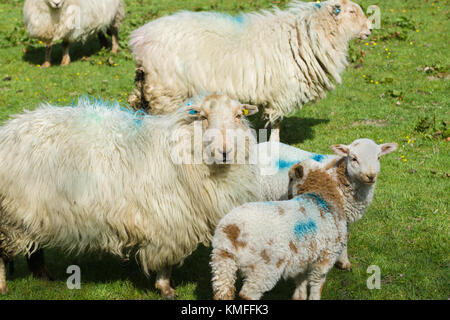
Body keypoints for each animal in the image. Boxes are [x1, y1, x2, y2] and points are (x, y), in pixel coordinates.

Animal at [0, 93, 260, 298]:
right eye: (203, 116)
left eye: (239, 115)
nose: (225, 151)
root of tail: (9, 129)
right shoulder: (167, 222)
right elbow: (165, 262)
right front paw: (165, 288)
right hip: (11, 216)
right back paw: (4, 286)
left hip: (32, 212)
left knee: (34, 247)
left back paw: (43, 276)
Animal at [128, 0, 370, 140]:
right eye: (351, 11)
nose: (369, 29)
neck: (306, 35)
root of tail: (140, 38)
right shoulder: (281, 93)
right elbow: (277, 123)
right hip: (166, 92)